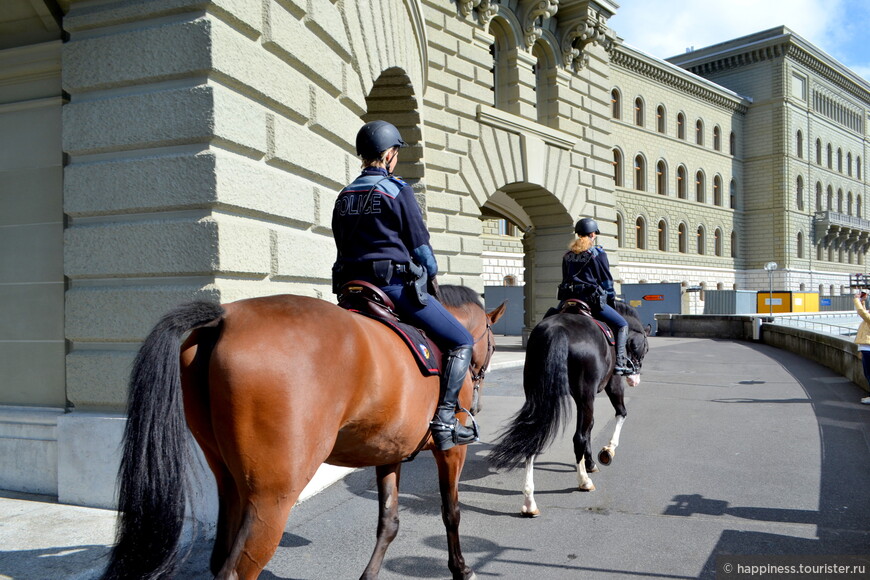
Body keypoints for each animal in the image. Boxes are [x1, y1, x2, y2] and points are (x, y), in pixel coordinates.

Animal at [100, 286, 504, 580]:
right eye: (493, 340)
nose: (478, 397)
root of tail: (227, 317)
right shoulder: (450, 451)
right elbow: (451, 511)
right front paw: (461, 568)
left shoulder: (388, 454)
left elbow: (388, 523)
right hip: (272, 497)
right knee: (238, 570)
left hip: (231, 484)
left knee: (220, 558)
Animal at [490, 302, 648, 516]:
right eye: (645, 348)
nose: (635, 379)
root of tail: (557, 330)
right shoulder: (612, 383)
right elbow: (620, 414)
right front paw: (607, 451)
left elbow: (591, 427)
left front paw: (590, 462)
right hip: (585, 395)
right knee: (578, 437)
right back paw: (584, 482)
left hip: (537, 395)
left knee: (533, 437)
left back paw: (529, 501)